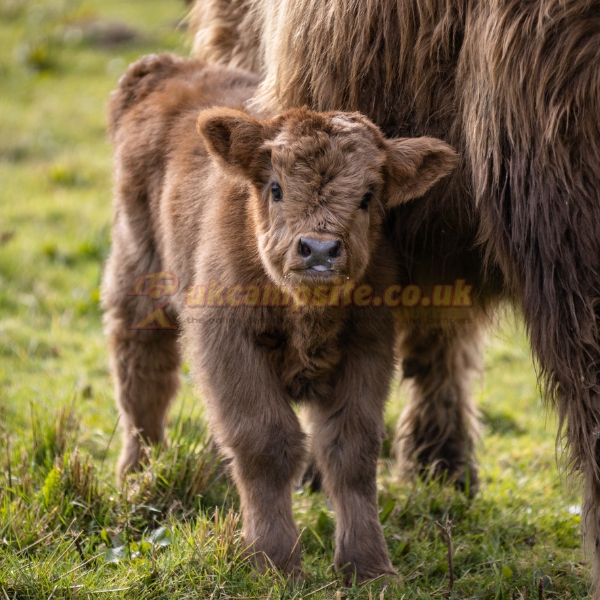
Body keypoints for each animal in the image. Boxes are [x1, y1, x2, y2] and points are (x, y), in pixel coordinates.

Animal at [104, 55, 460, 580]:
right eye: (276, 188)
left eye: (368, 196)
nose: (319, 250)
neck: (306, 316)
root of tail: (164, 69)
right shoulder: (229, 347)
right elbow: (267, 444)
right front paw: (273, 559)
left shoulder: (369, 348)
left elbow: (351, 452)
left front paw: (368, 564)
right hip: (138, 276)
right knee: (142, 380)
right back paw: (136, 474)